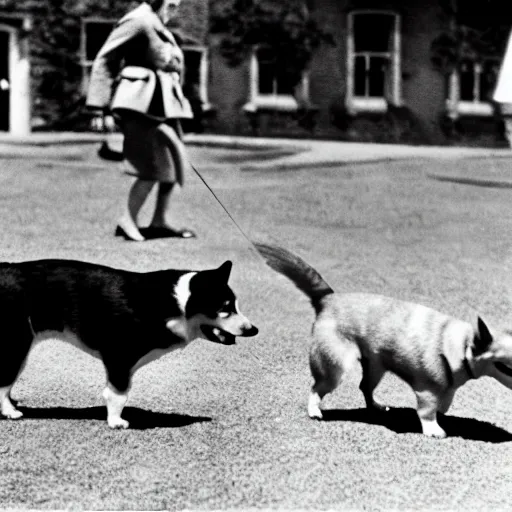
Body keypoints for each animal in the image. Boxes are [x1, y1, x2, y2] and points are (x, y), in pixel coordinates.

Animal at [0, 260, 258, 428]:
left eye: (235, 305)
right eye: (225, 308)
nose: (253, 330)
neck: (176, 303)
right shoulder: (119, 358)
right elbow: (118, 394)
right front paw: (115, 422)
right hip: (17, 345)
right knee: (4, 384)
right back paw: (10, 411)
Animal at [256, 242, 512, 438]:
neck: (463, 344)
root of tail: (327, 298)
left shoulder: (446, 388)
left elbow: (445, 402)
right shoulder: (426, 390)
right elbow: (428, 411)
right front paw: (433, 430)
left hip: (375, 367)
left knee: (364, 386)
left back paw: (376, 407)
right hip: (335, 369)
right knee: (316, 388)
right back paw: (314, 411)